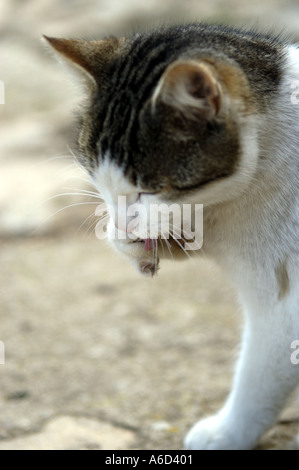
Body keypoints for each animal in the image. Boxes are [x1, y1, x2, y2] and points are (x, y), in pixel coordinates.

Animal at [43, 23, 298, 450]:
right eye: (96, 175)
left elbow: (260, 373)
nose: (123, 222)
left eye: (149, 189)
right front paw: (126, 241)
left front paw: (229, 432)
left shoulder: (284, 304)